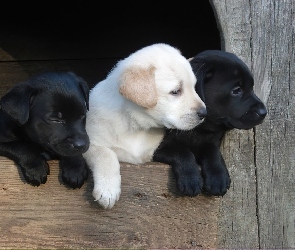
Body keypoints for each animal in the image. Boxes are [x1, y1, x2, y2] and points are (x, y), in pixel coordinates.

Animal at [155, 49, 268, 196]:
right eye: (236, 90)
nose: (264, 112)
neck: (197, 129)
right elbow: (181, 151)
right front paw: (190, 178)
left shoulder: (211, 140)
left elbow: (212, 152)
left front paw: (217, 177)